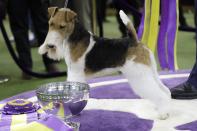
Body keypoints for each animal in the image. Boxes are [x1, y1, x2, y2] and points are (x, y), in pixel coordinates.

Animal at [38, 7, 171, 119]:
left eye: (62, 26)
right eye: (50, 24)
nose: (50, 46)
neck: (74, 38)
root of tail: (135, 41)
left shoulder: (75, 72)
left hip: (140, 75)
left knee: (158, 93)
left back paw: (163, 114)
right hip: (149, 72)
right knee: (164, 90)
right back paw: (164, 109)